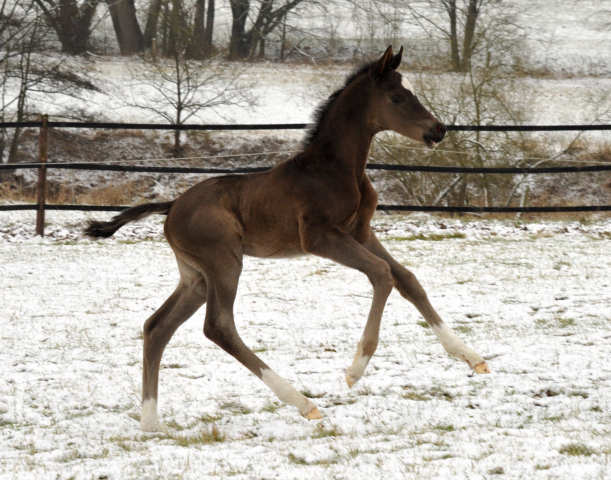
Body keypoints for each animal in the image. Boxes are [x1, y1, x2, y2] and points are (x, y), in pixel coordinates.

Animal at [85, 47, 492, 434]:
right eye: (397, 97)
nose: (438, 130)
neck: (336, 169)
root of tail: (171, 206)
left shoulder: (360, 232)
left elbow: (406, 278)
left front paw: (471, 357)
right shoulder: (319, 237)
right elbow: (381, 274)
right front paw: (355, 370)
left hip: (196, 277)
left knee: (157, 327)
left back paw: (151, 422)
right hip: (224, 262)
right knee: (218, 326)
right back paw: (302, 402)